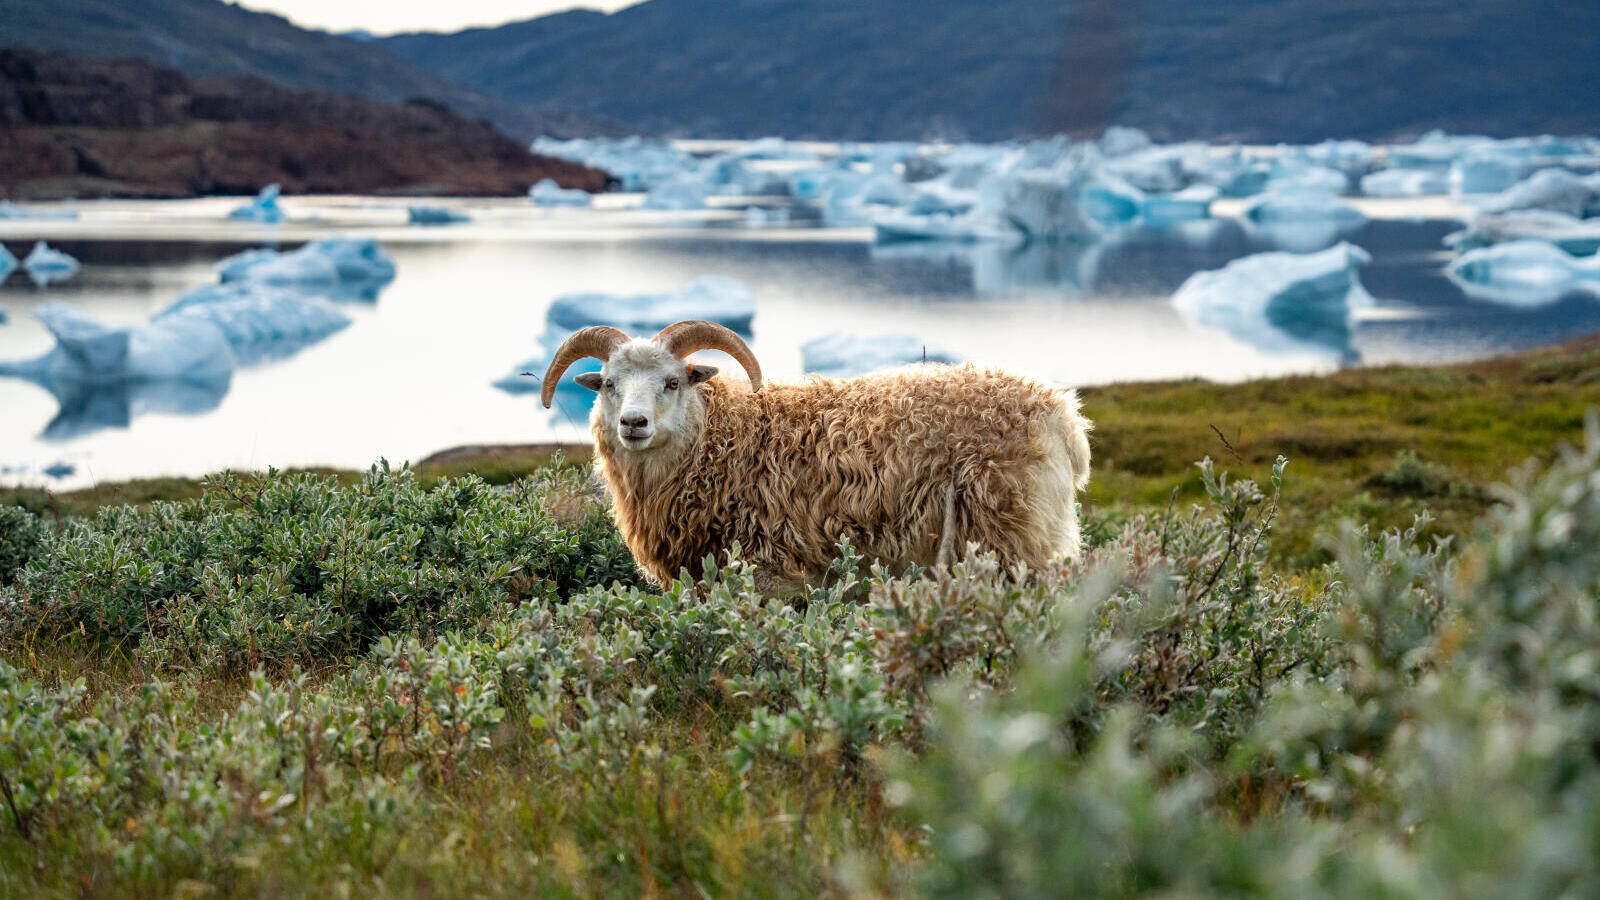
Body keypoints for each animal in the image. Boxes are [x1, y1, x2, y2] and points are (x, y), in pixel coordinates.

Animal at [541, 320, 1091, 589]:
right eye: (608, 384)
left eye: (673, 382)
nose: (633, 423)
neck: (722, 441)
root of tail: (1064, 415)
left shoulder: (770, 574)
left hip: (1016, 540)